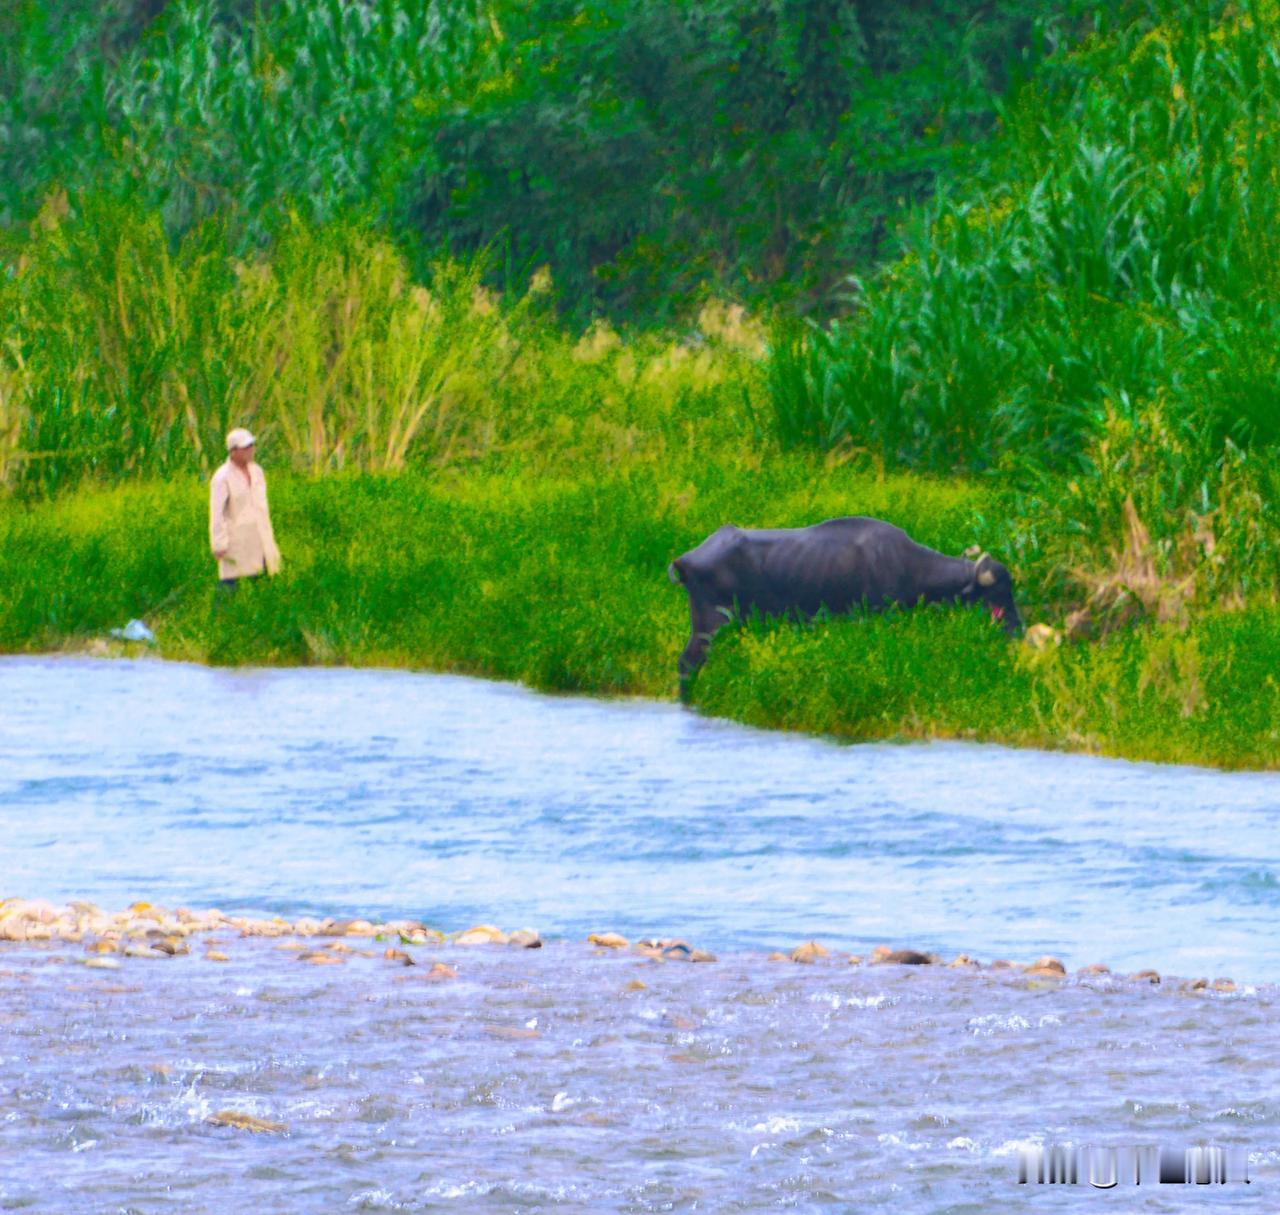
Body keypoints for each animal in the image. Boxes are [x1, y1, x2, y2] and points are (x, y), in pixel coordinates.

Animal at [670, 514, 1018, 681]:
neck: (906, 564)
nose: (1016, 629)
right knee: (688, 664)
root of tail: (685, 560)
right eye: (999, 592)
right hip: (710, 623)